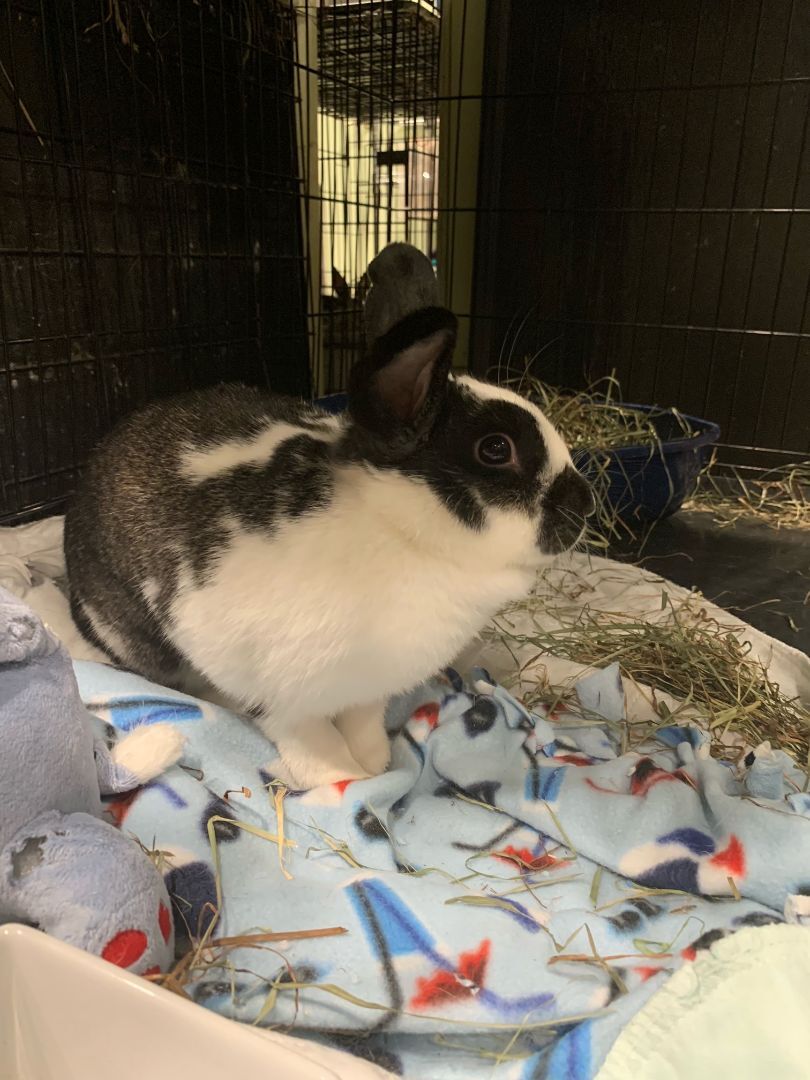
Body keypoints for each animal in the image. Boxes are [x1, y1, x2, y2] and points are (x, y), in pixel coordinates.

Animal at [64, 244, 592, 789]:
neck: (401, 532)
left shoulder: (367, 688)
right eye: (495, 449)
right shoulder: (269, 685)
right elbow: (304, 732)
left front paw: (375, 761)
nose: (586, 503)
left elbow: (361, 720)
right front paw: (340, 776)